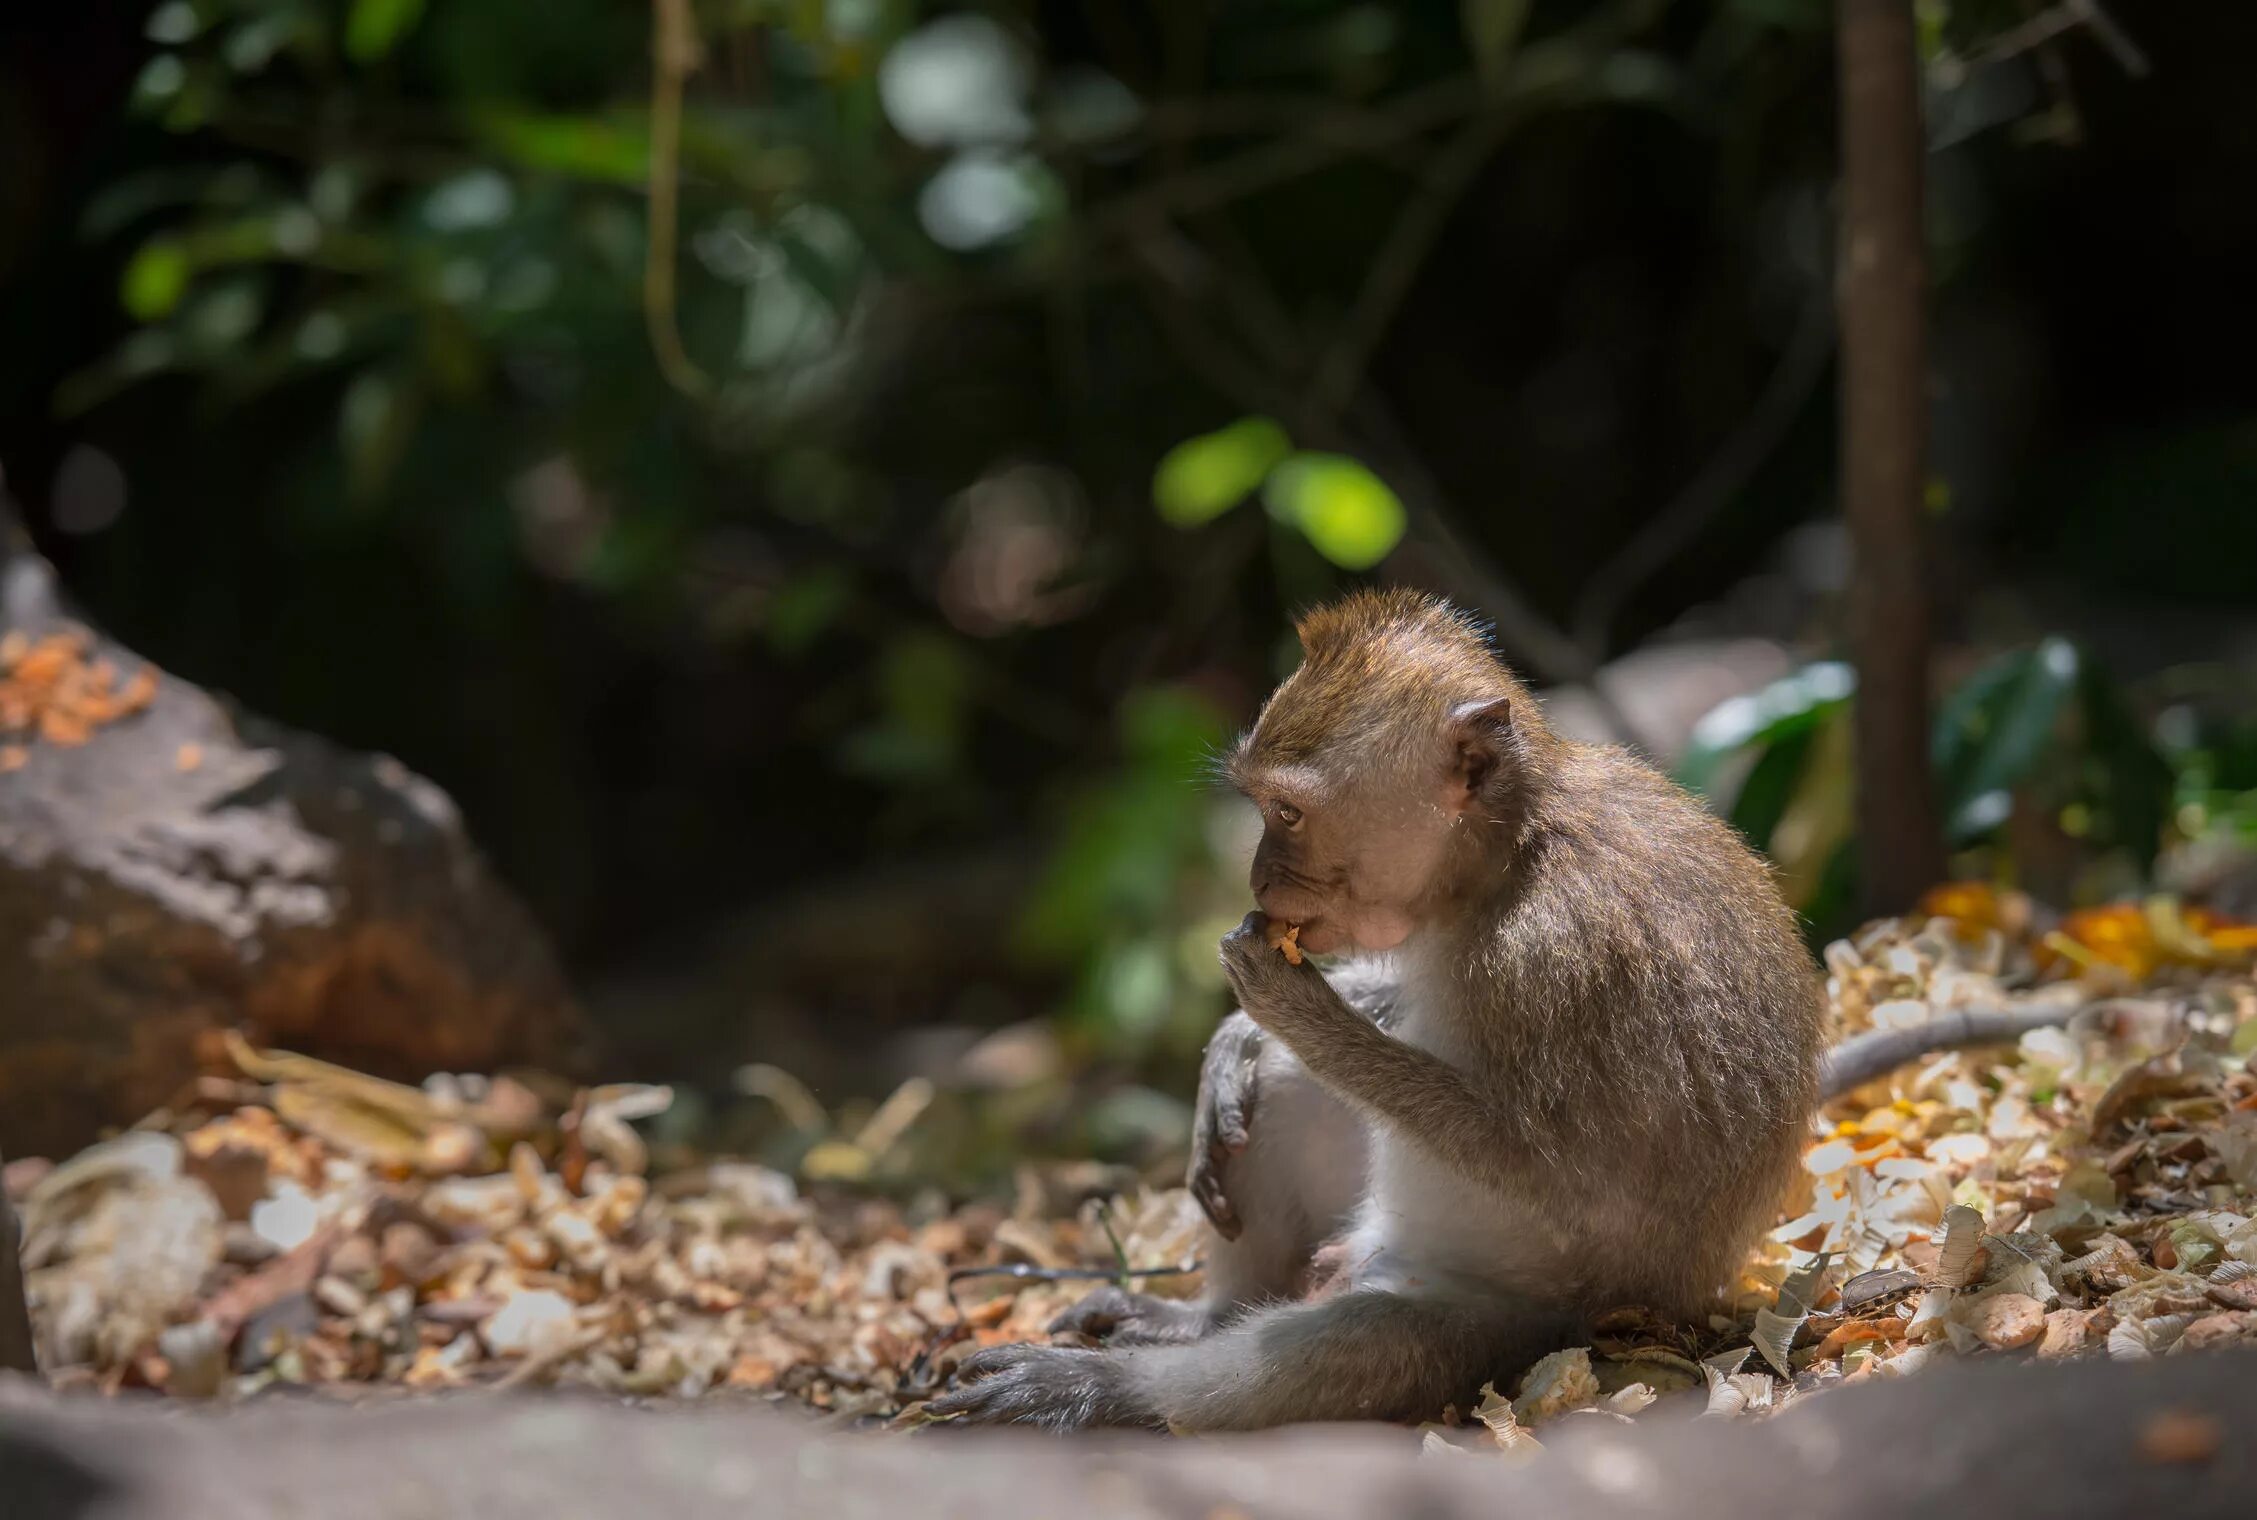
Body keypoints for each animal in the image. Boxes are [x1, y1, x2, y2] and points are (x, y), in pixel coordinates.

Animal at [934, 587, 1832, 1427]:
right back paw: (1203, 1314)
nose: (1258, 879)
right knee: (1279, 1098)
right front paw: (1234, 1040)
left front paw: (1299, 1012)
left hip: (1520, 1320)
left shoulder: (1551, 954)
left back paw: (1105, 1390)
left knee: (1353, 1344)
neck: (1508, 856)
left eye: (1287, 812)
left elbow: (1560, 1176)